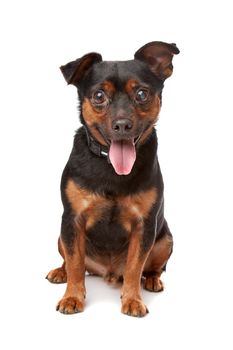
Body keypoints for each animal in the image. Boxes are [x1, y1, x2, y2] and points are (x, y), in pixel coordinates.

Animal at [46, 41, 179, 318]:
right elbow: (75, 264)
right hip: (61, 236)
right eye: (99, 96)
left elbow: (134, 267)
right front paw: (72, 297)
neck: (111, 167)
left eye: (142, 94)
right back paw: (60, 272)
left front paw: (133, 300)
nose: (122, 125)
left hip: (165, 239)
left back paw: (152, 280)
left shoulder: (144, 226)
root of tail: (106, 273)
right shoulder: (72, 221)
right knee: (70, 261)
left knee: (152, 268)